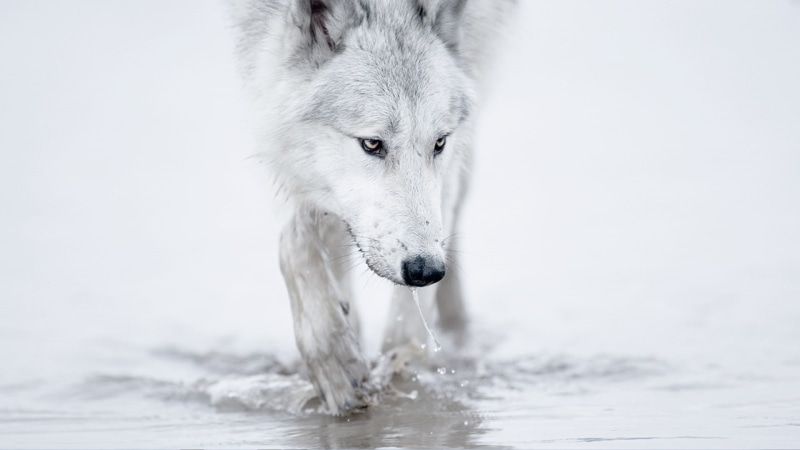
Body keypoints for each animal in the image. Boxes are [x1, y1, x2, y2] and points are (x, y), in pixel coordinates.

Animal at [229, 0, 513, 415]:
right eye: (372, 144)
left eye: (439, 143)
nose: (426, 270)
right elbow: (296, 244)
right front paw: (335, 360)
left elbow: (406, 323)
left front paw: (399, 371)